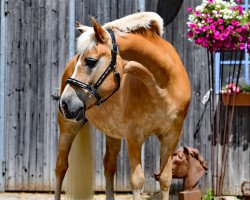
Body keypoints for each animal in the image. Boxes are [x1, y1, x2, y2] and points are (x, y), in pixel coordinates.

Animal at [55, 12, 191, 200]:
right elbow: (137, 181)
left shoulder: (172, 136)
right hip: (68, 126)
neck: (163, 86)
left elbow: (165, 179)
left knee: (109, 166)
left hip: (112, 132)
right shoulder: (135, 136)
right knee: (61, 167)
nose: (65, 103)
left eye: (90, 61)